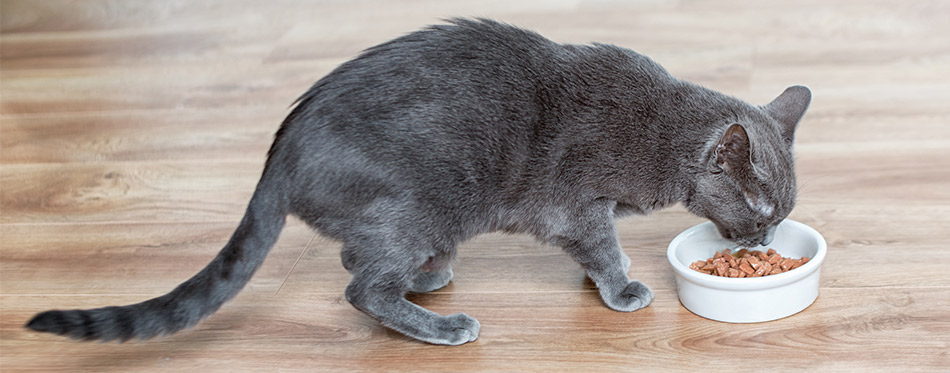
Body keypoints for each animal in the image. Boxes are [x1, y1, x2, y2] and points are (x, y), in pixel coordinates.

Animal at [24, 18, 812, 344]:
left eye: (782, 213)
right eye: (761, 208)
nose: (763, 239)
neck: (662, 129)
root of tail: (278, 154)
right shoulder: (576, 204)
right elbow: (603, 246)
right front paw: (620, 289)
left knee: (356, 257)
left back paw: (429, 279)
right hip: (417, 204)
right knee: (360, 286)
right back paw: (439, 323)